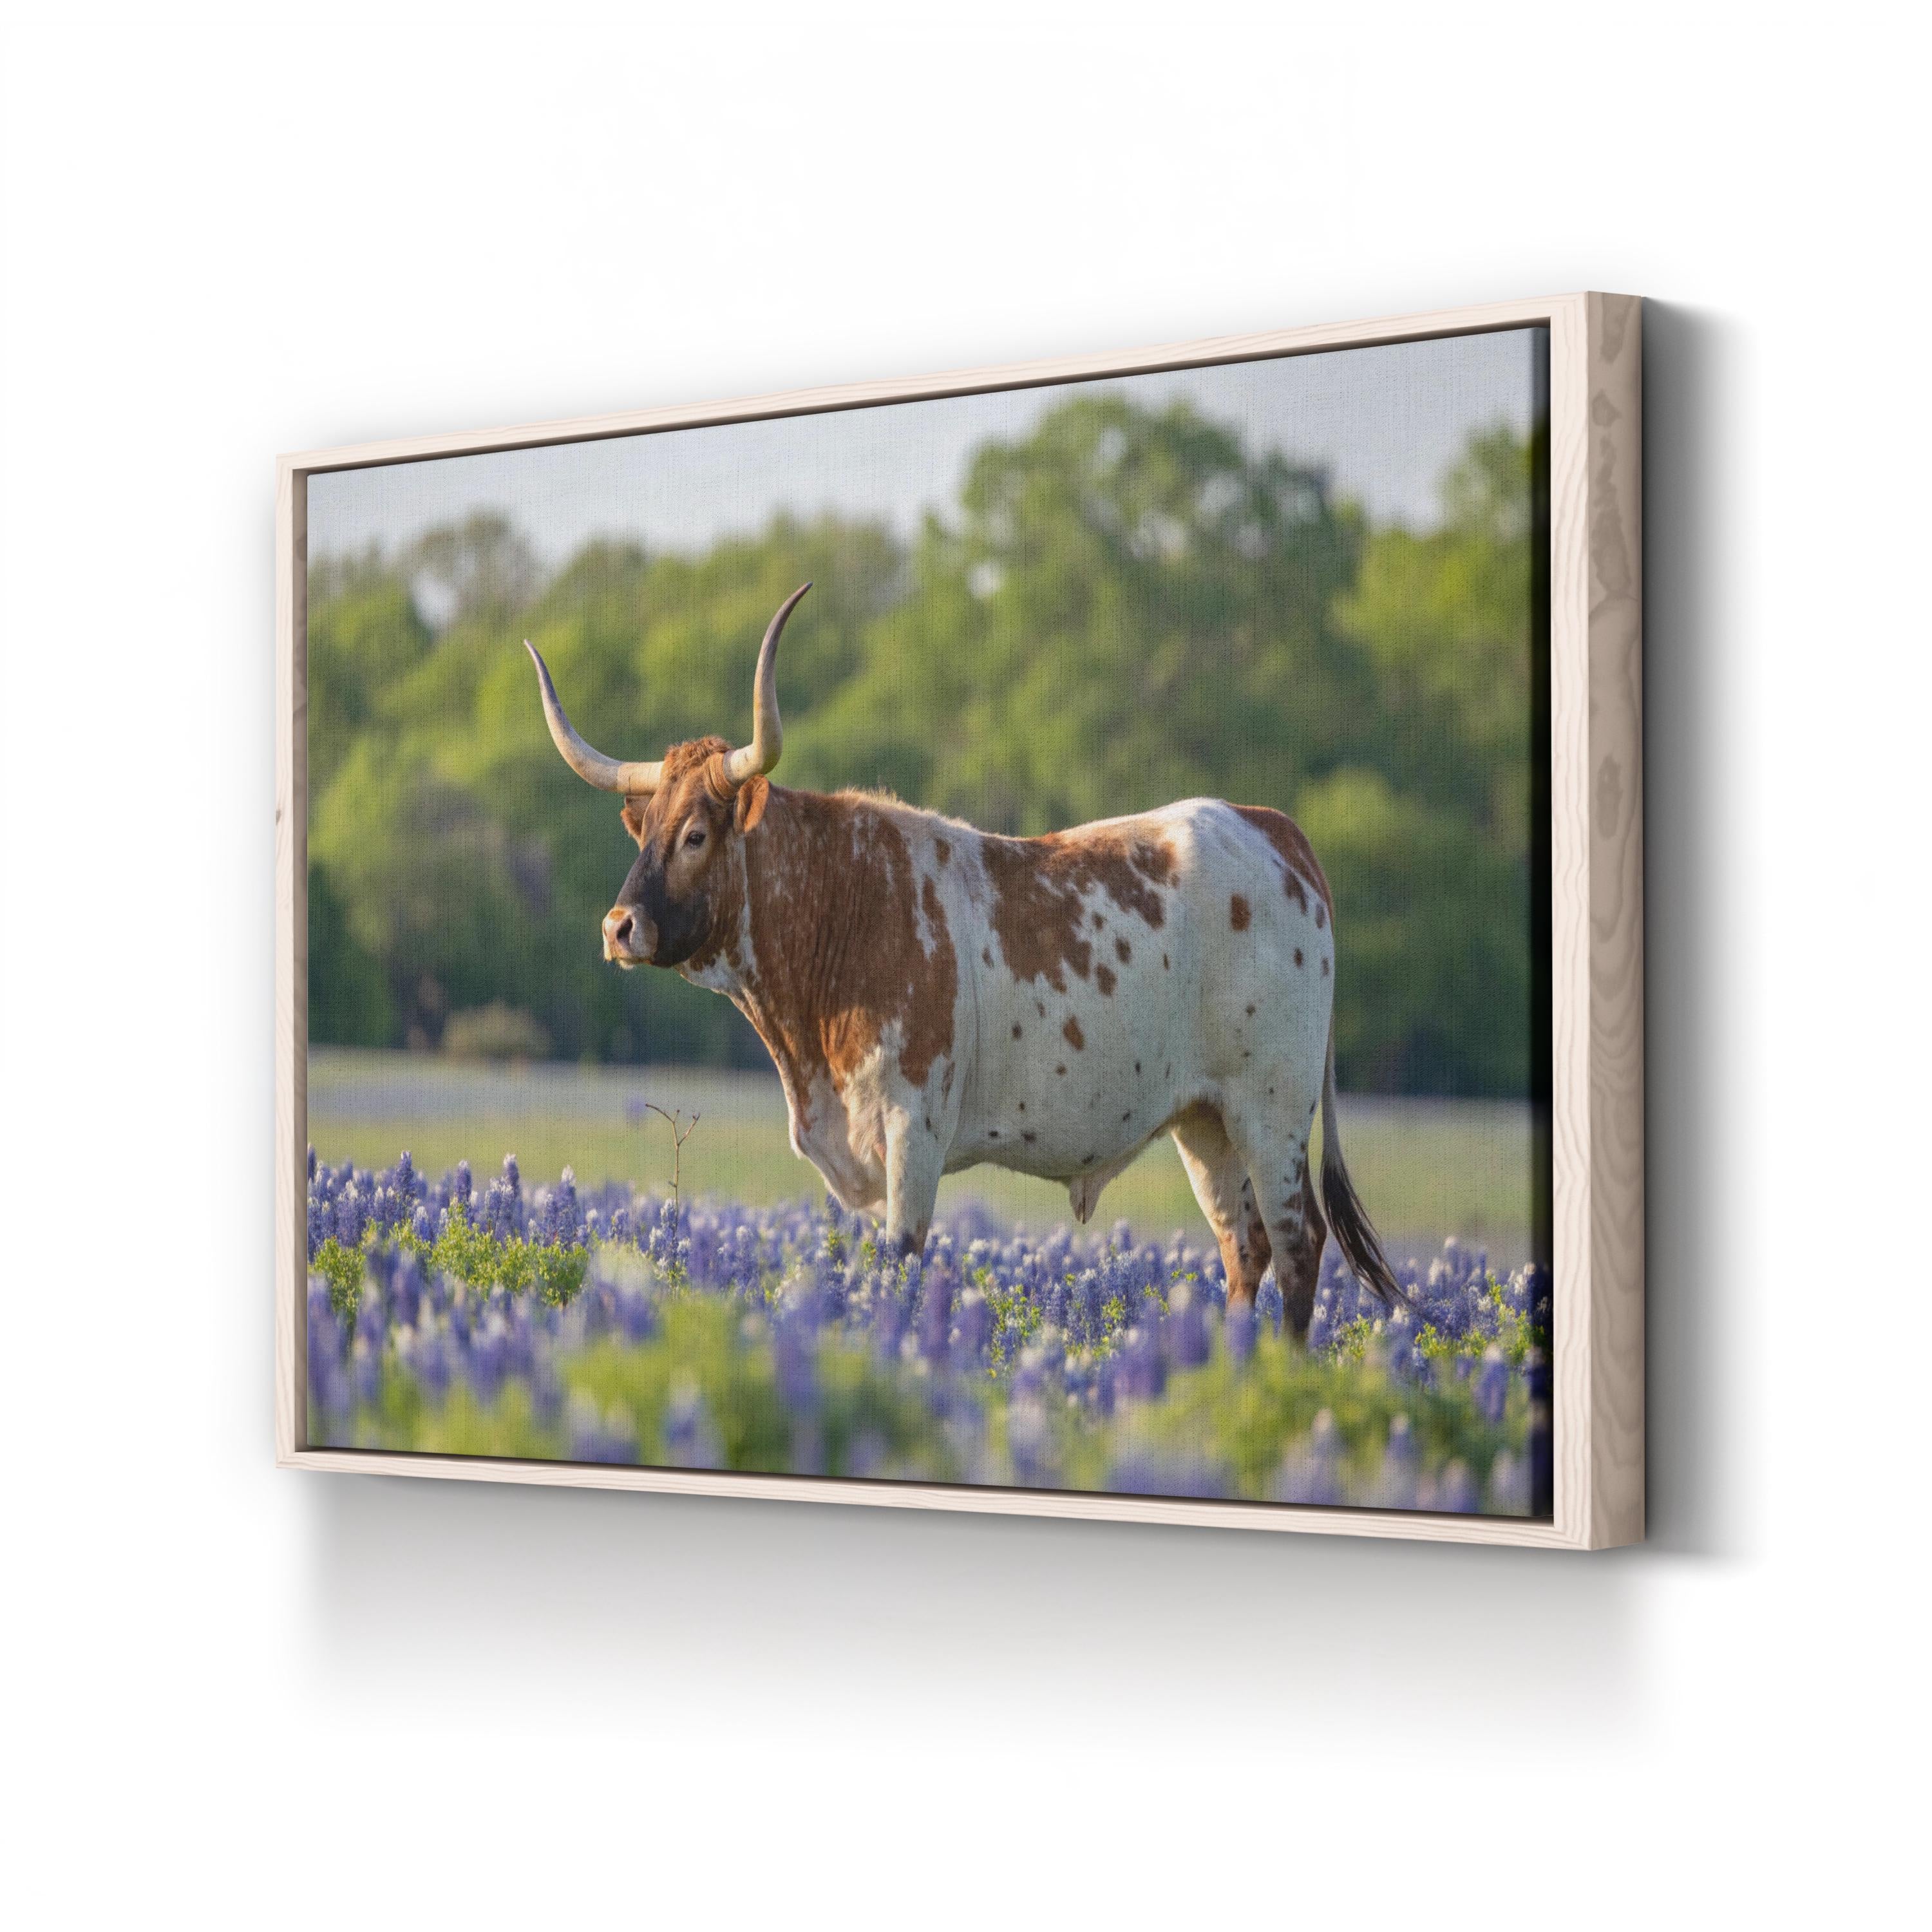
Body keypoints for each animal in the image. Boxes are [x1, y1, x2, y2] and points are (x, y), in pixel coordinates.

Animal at [523, 582, 1404, 1334]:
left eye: (697, 834)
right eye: (643, 829)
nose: (619, 927)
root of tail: (1272, 827)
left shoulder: (913, 1130)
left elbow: (901, 1266)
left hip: (1272, 1109)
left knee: (1297, 1247)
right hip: (1206, 1119)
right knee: (1243, 1248)